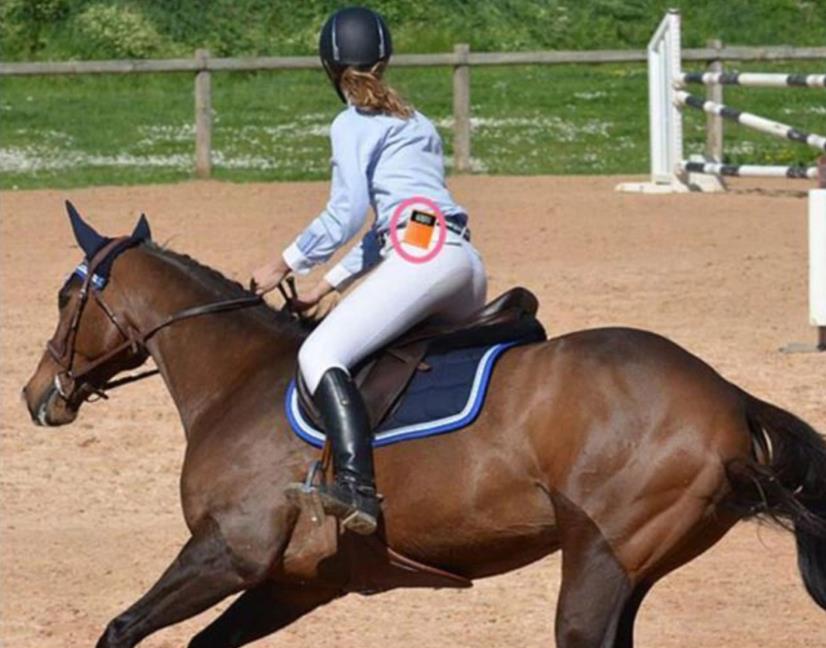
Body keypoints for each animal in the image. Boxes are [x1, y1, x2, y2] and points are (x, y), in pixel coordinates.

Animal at [22, 205, 826, 648]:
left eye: (66, 296)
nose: (36, 395)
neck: (238, 378)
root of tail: (727, 395)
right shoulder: (293, 584)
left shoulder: (230, 551)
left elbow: (120, 629)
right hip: (635, 567)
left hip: (601, 559)